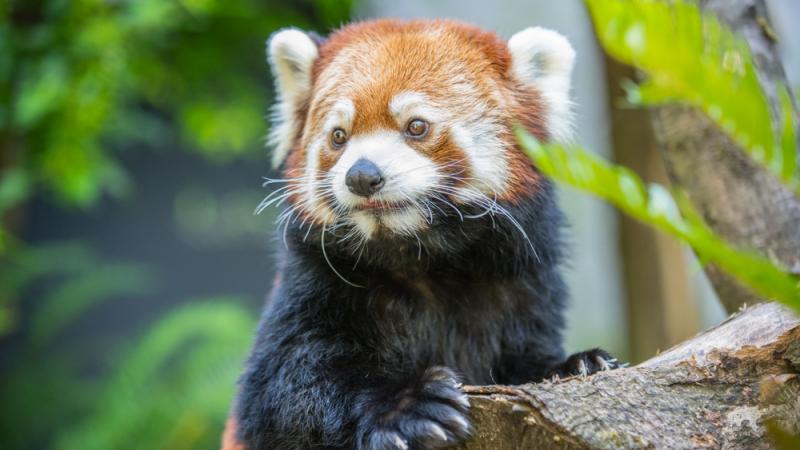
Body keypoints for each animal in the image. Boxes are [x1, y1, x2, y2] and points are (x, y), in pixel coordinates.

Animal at [223, 19, 620, 450]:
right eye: (338, 136)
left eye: (416, 127)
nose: (362, 175)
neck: (421, 259)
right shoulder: (312, 283)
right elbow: (283, 389)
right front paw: (406, 407)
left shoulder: (522, 288)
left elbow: (525, 359)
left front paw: (575, 364)